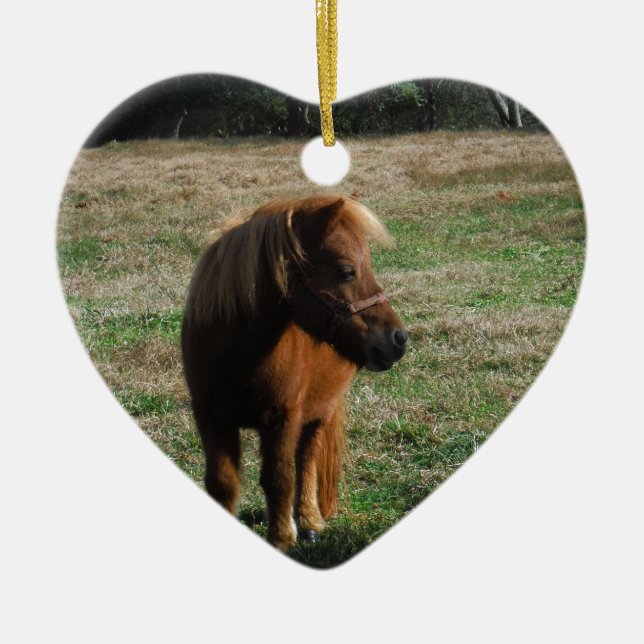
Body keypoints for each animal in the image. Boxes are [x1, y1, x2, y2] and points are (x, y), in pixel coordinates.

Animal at [181, 194, 408, 550]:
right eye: (346, 270)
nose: (398, 339)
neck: (237, 354)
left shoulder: (284, 418)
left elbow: (279, 479)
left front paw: (282, 539)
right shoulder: (210, 417)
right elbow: (222, 483)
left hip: (319, 412)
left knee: (307, 459)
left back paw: (308, 520)